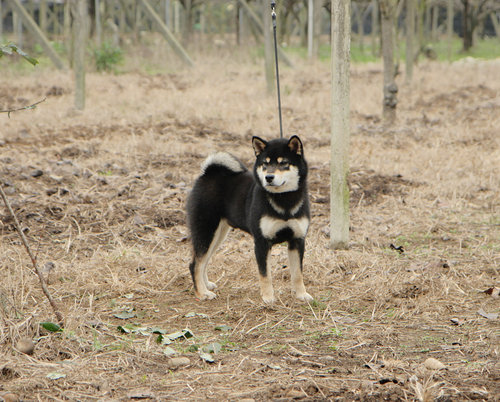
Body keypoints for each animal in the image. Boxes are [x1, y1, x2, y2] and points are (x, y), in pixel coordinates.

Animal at [187, 137, 312, 304]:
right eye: (265, 164)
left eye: (283, 163)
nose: (268, 178)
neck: (284, 200)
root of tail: (207, 174)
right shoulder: (261, 242)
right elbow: (265, 275)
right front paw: (268, 298)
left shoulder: (297, 240)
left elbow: (298, 274)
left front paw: (301, 294)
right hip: (206, 231)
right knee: (195, 264)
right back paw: (202, 293)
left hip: (217, 235)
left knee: (204, 261)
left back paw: (206, 285)